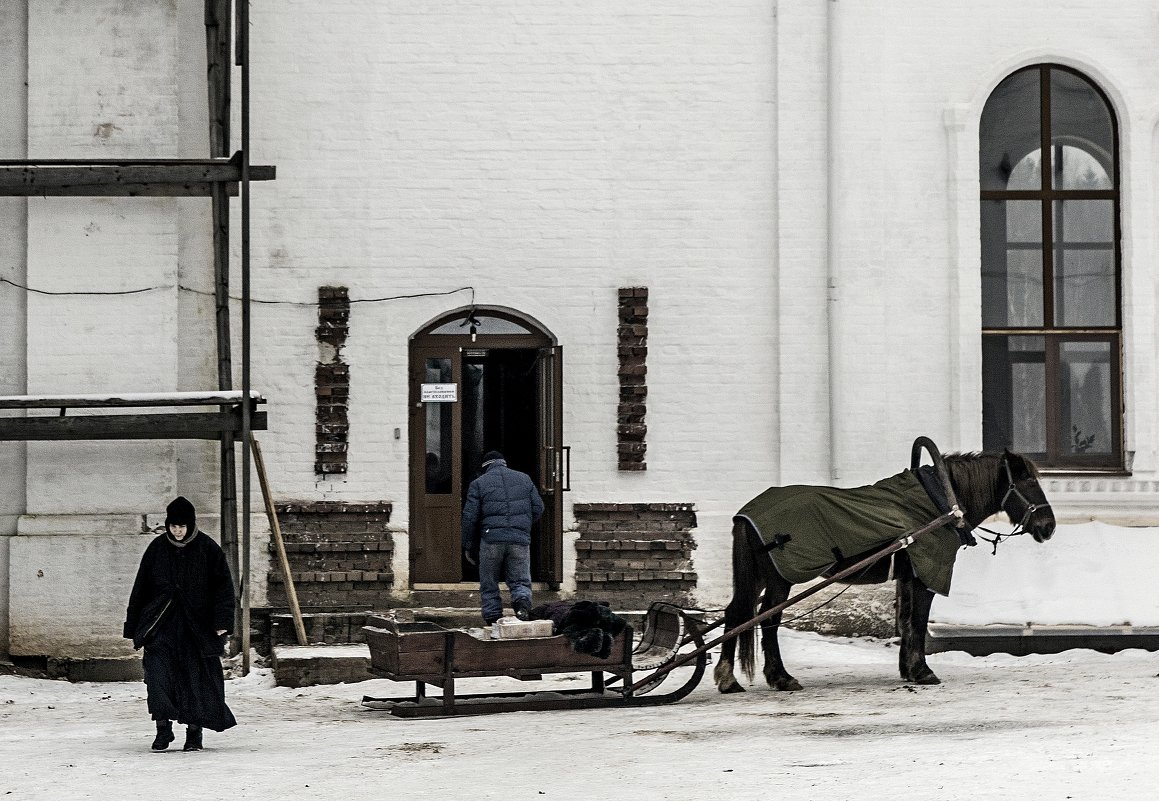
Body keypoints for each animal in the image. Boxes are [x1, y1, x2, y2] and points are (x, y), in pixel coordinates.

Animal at [709, 447, 1057, 690]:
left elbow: (907, 621)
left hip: (759, 578)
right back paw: (780, 677)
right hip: (780, 578)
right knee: (768, 619)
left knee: (736, 613)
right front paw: (923, 671)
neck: (938, 503)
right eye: (1027, 480)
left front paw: (909, 670)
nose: (1049, 525)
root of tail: (745, 514)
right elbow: (917, 620)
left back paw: (729, 678)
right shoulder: (925, 576)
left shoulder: (910, 576)